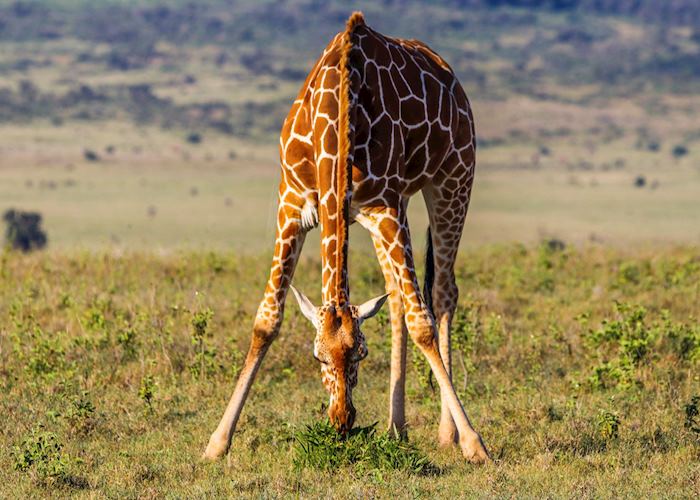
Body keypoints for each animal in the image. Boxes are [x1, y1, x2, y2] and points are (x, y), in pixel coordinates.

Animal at [204, 12, 489, 463]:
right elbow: (266, 321)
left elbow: (422, 323)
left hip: (453, 176)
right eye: (317, 356)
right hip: (396, 209)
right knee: (396, 300)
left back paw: (448, 433)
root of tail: (445, 68)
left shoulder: (384, 207)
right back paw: (396, 428)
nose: (341, 422)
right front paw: (217, 441)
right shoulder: (292, 206)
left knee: (442, 293)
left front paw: (475, 443)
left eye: (361, 354)